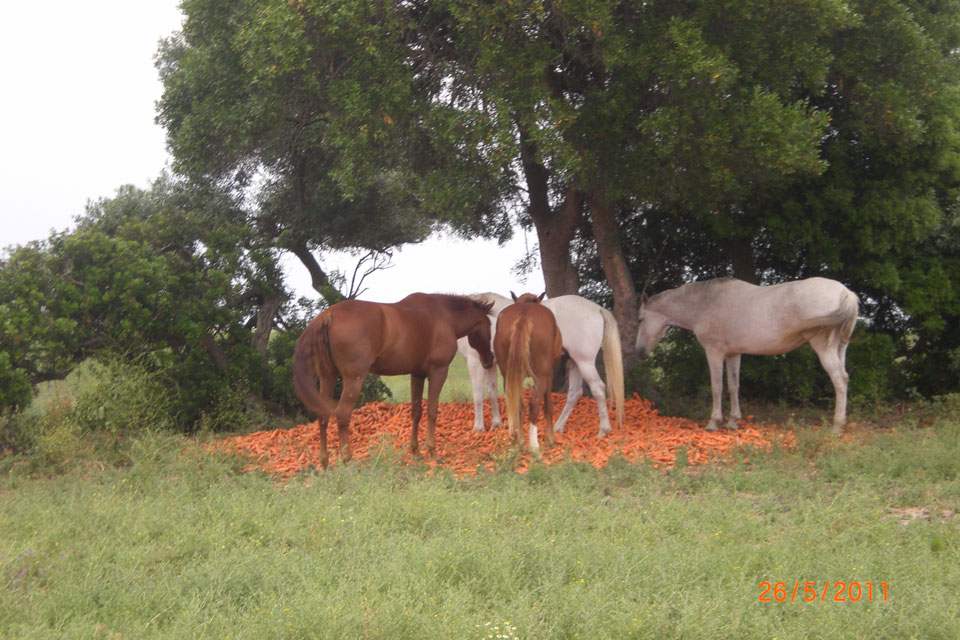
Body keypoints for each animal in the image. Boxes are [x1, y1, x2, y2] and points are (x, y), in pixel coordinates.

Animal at [293, 293, 495, 468]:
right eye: (489, 325)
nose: (489, 360)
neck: (444, 316)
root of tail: (328, 315)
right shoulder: (438, 372)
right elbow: (432, 412)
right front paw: (433, 452)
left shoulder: (417, 375)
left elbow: (416, 412)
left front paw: (416, 452)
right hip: (353, 380)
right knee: (342, 414)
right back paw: (347, 460)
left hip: (328, 377)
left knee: (323, 415)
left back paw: (324, 462)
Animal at [458, 292, 624, 437]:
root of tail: (597, 308)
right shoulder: (489, 364)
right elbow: (492, 394)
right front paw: (496, 424)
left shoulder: (475, 363)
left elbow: (478, 395)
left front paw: (478, 427)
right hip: (575, 362)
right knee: (575, 392)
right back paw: (558, 426)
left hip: (585, 362)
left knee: (598, 389)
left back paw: (603, 430)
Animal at [493, 292, 564, 459]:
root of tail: (523, 316)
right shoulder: (549, 373)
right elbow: (548, 405)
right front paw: (550, 440)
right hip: (541, 375)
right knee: (533, 404)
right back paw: (534, 447)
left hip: (508, 375)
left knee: (517, 404)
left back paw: (519, 443)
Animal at [635, 277, 859, 433]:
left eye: (640, 319)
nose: (639, 352)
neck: (705, 303)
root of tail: (845, 292)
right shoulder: (733, 354)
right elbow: (734, 386)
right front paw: (733, 421)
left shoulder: (714, 353)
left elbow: (717, 387)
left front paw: (714, 422)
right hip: (841, 348)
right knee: (845, 378)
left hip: (824, 348)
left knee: (840, 380)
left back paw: (837, 426)